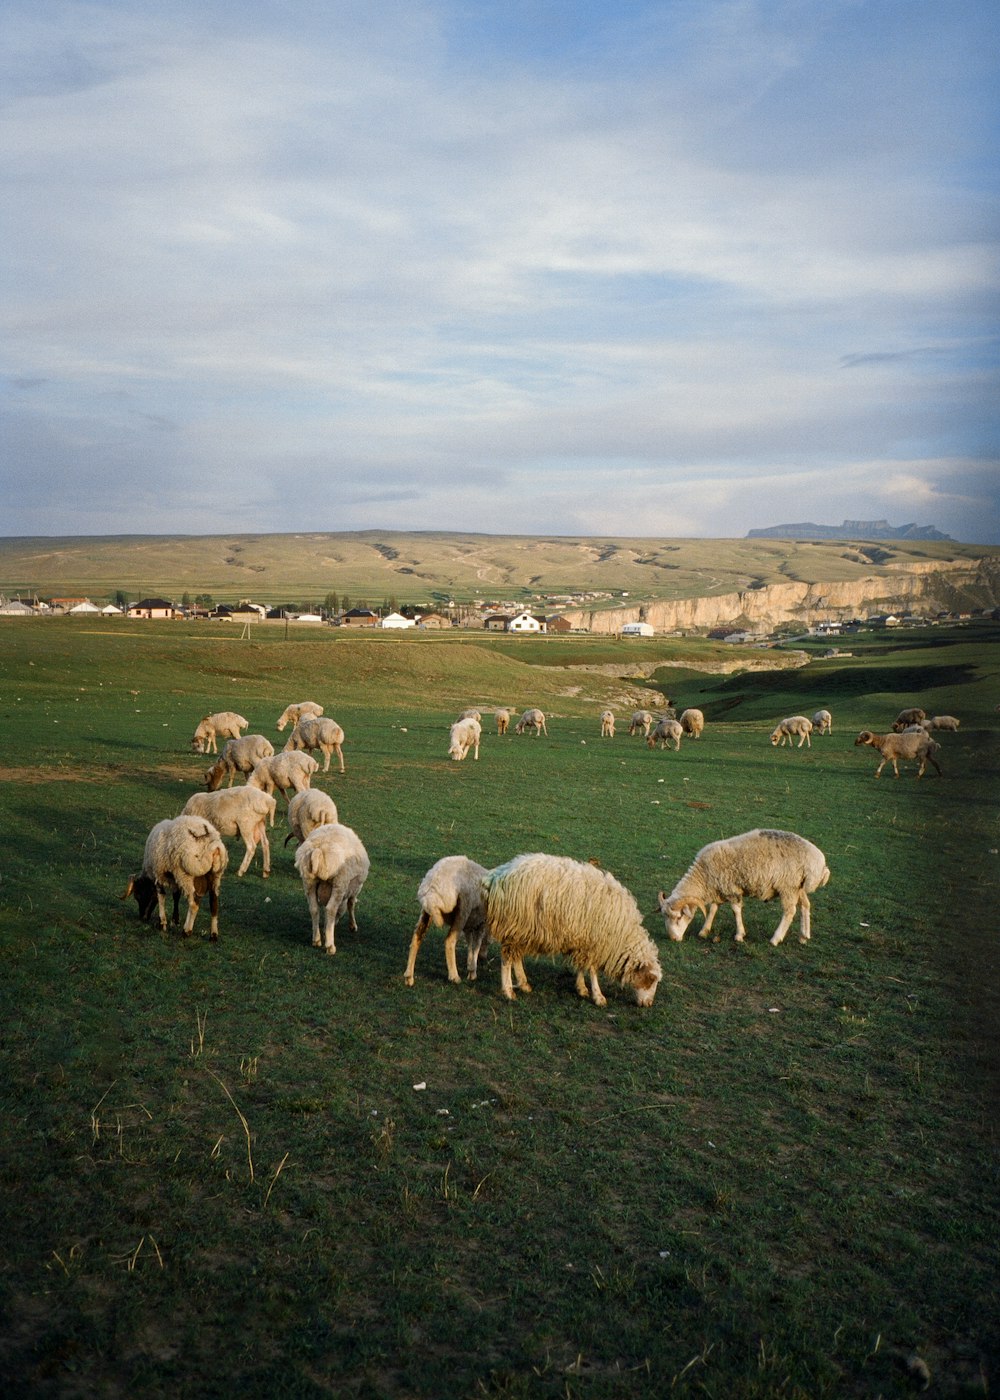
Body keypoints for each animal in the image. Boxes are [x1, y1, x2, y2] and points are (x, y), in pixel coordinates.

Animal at [292, 823, 369, 957]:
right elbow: (351, 904)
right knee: (330, 909)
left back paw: (316, 940)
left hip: (308, 881)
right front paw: (352, 926)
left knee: (314, 909)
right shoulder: (355, 889)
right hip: (340, 882)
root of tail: (318, 850)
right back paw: (330, 946)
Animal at [400, 851, 490, 985]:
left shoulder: (470, 926)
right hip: (463, 908)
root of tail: (432, 894)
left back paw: (409, 976)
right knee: (450, 940)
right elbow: (476, 945)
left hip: (426, 912)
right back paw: (454, 976)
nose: (483, 957)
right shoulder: (480, 923)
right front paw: (473, 971)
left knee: (417, 936)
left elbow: (470, 944)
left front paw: (470, 967)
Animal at [476, 851, 658, 1008]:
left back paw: (524, 984)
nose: (648, 1004)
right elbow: (592, 970)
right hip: (514, 925)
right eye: (651, 980)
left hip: (522, 930)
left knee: (516, 957)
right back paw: (508, 991)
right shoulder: (594, 943)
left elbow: (581, 966)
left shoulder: (582, 941)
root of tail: (495, 877)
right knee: (507, 959)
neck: (623, 934)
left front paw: (581, 988)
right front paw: (598, 995)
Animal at [658, 823, 829, 946]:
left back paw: (775, 939)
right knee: (805, 905)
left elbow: (735, 910)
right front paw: (704, 931)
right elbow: (713, 908)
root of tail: (820, 864)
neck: (704, 876)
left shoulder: (731, 888)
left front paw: (739, 935)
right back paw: (803, 936)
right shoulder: (719, 887)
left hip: (788, 886)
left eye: (679, 917)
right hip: (798, 886)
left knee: (789, 911)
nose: (673, 939)